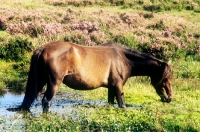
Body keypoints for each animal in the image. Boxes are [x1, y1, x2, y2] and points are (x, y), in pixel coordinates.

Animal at [6, 41, 172, 112]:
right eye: (166, 78)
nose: (169, 98)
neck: (123, 58)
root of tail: (43, 48)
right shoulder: (119, 86)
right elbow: (122, 104)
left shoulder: (111, 87)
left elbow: (111, 103)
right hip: (53, 83)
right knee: (46, 102)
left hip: (40, 80)